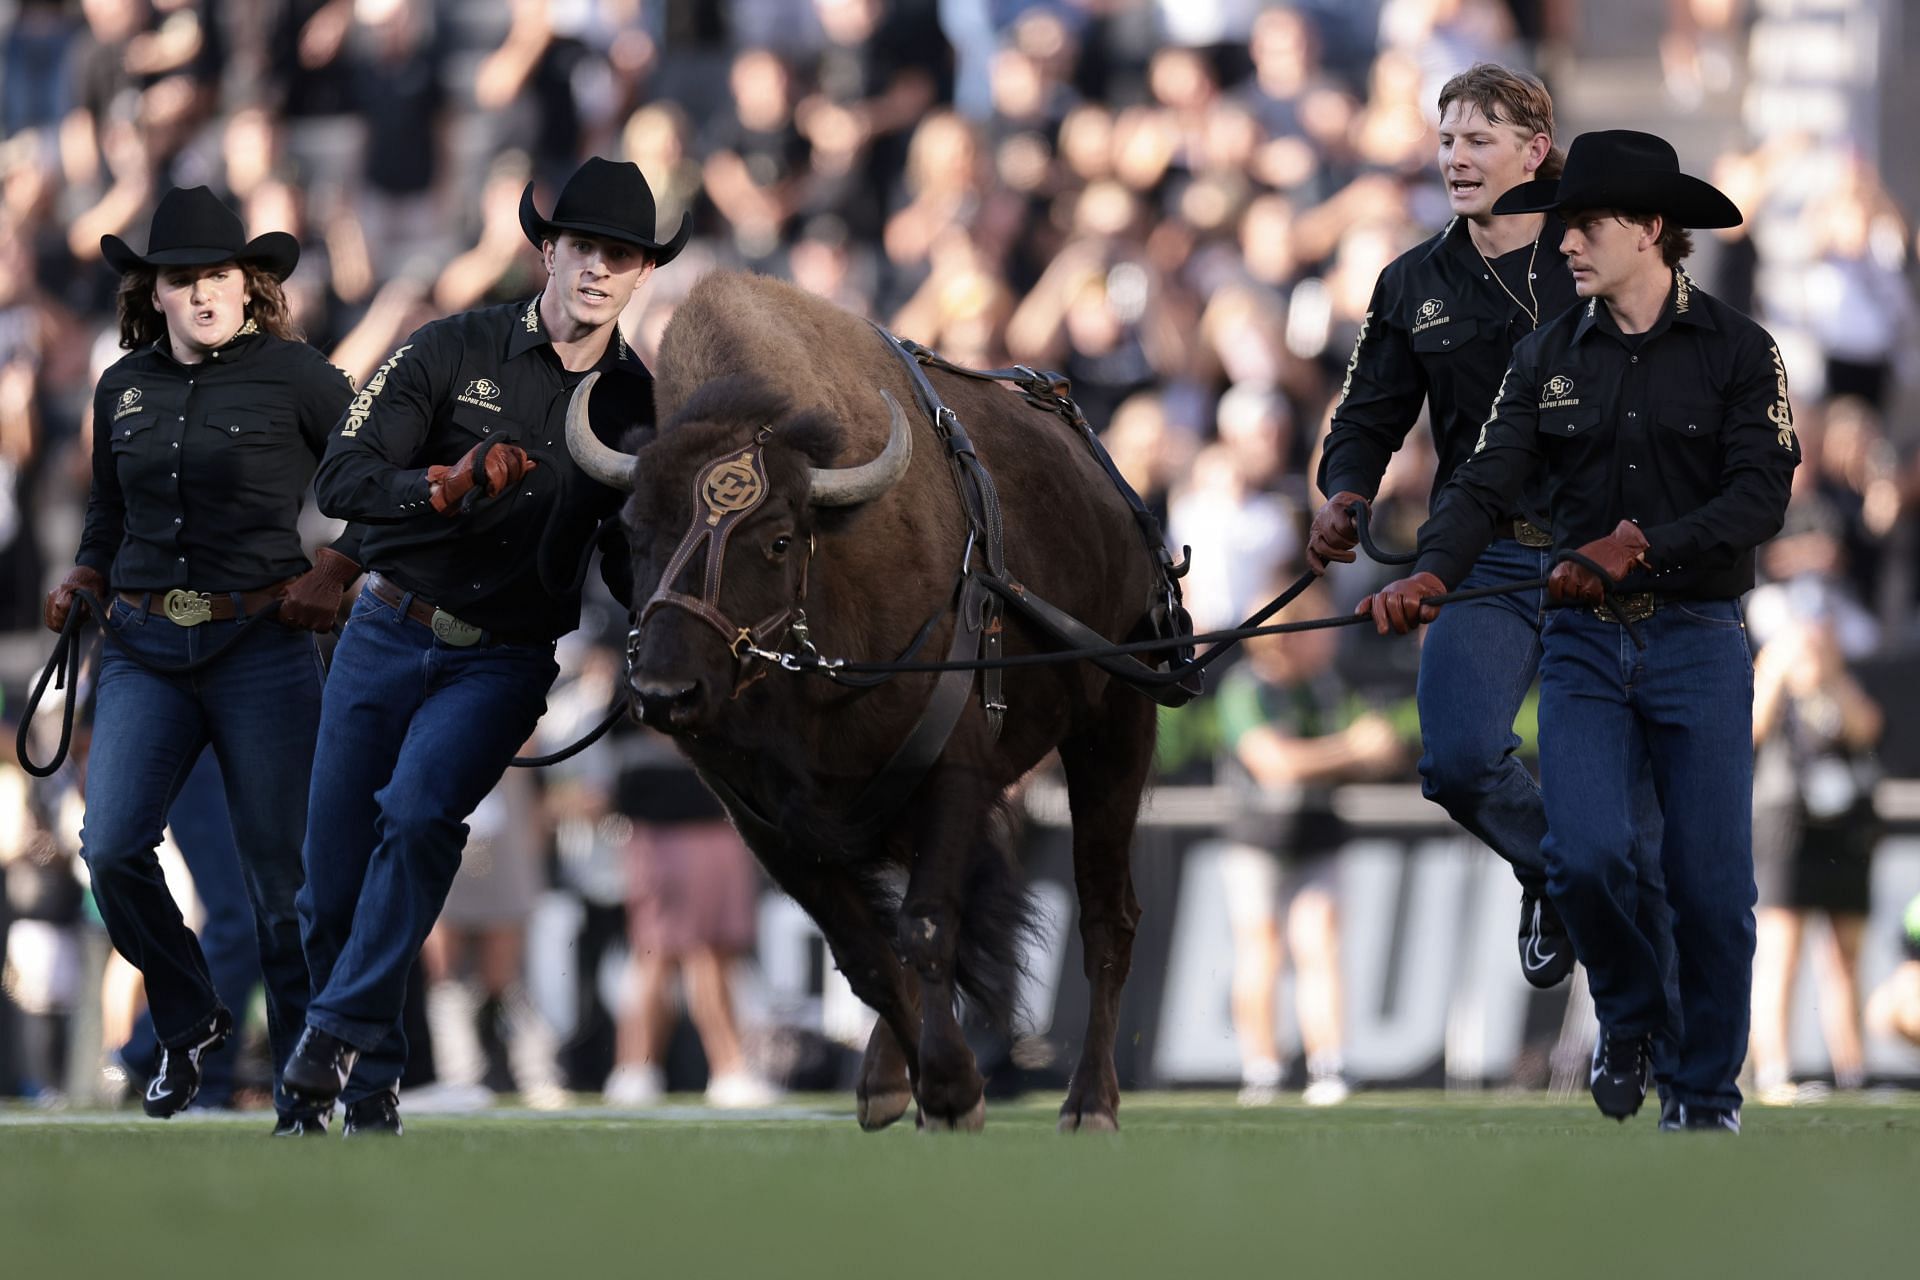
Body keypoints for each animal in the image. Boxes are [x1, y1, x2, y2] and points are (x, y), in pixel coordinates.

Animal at [560, 272, 1175, 1128]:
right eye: (631, 533)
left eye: (778, 539)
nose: (663, 691)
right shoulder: (771, 821)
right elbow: (867, 955)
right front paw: (919, 1085)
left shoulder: (950, 773)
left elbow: (926, 927)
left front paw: (952, 1092)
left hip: (1114, 727)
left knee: (1106, 916)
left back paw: (1091, 1104)